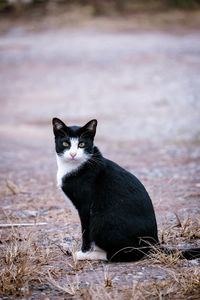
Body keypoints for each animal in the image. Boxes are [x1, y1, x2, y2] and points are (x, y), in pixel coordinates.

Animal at [52, 118, 200, 262]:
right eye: (65, 143)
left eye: (81, 144)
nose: (73, 154)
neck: (73, 166)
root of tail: (154, 243)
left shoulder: (85, 207)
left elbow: (85, 232)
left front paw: (84, 252)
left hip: (101, 220)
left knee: (126, 255)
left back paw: (93, 255)